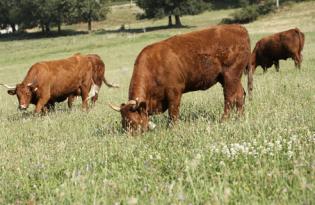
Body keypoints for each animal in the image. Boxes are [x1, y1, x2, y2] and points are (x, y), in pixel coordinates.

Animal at [110, 24, 252, 133]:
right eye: (123, 123)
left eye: (133, 122)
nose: (130, 138)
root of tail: (239, 28)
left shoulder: (174, 92)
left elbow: (173, 113)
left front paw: (172, 129)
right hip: (231, 78)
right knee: (240, 95)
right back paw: (240, 118)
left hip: (230, 76)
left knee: (229, 98)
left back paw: (223, 120)